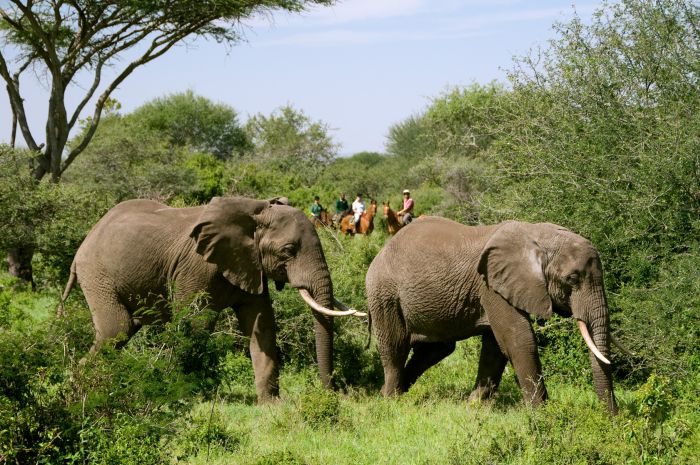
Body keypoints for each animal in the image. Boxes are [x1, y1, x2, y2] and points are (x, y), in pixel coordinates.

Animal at [60, 196, 360, 402]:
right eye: (289, 250)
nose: (329, 394)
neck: (255, 211)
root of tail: (84, 242)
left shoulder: (251, 265)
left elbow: (261, 325)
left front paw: (271, 404)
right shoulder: (197, 268)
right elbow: (197, 325)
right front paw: (188, 394)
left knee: (124, 331)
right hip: (97, 274)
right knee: (116, 329)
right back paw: (80, 385)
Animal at [366, 216, 616, 412]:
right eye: (572, 279)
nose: (613, 418)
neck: (536, 234)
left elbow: (495, 348)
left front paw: (474, 407)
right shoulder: (490, 286)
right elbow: (519, 340)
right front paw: (544, 414)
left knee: (436, 349)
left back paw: (391, 393)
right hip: (384, 294)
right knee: (395, 347)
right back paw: (392, 401)